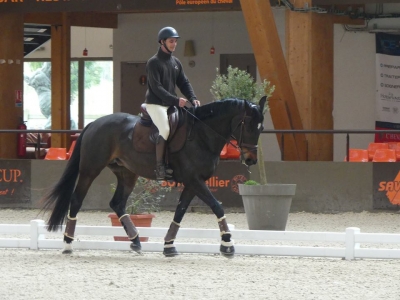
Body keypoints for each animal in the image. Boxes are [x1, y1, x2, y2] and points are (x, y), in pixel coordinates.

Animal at [41, 96, 266, 258]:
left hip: (127, 173)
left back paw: (135, 241)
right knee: (77, 200)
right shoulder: (194, 180)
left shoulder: (193, 183)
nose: (251, 159)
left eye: (261, 128)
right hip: (90, 169)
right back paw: (68, 244)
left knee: (117, 203)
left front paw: (168, 246)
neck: (202, 135)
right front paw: (227, 244)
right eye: (248, 125)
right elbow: (217, 206)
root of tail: (94, 123)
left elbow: (180, 213)